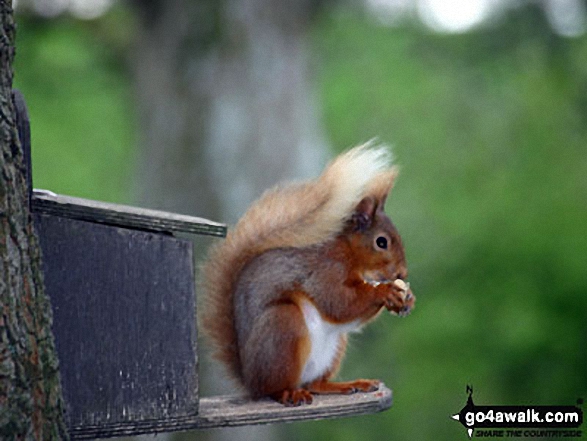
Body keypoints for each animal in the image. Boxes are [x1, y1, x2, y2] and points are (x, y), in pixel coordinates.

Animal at [201, 144, 414, 406]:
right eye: (381, 242)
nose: (402, 273)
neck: (349, 253)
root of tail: (250, 381)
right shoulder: (324, 271)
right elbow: (338, 302)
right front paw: (385, 291)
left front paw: (407, 299)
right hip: (283, 324)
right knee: (274, 388)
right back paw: (289, 393)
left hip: (334, 346)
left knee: (315, 384)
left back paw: (347, 385)